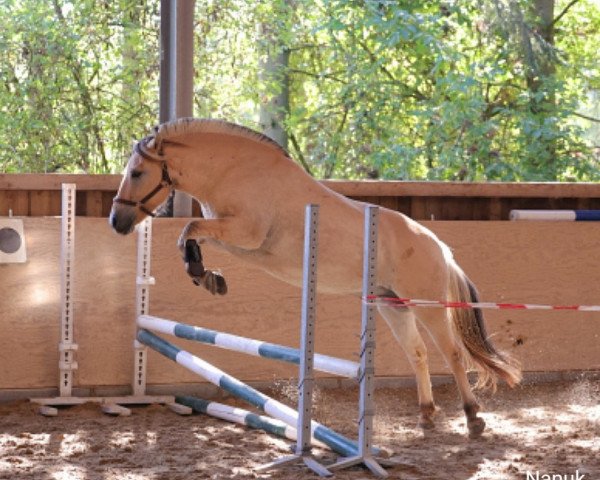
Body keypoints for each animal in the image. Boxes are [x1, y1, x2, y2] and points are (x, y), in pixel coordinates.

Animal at [111, 117, 520, 438]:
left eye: (137, 173)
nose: (117, 222)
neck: (233, 171)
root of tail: (439, 248)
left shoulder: (245, 233)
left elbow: (189, 229)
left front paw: (204, 275)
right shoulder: (234, 239)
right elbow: (191, 236)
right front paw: (209, 277)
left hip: (426, 305)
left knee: (452, 353)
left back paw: (473, 418)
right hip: (392, 305)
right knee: (417, 354)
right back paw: (426, 416)